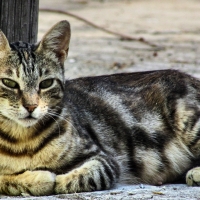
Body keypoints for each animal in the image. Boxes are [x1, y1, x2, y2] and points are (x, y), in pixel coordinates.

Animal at [0, 20, 200, 195]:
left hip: (187, 119)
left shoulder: (104, 159)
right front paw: (34, 178)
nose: (31, 106)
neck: (22, 140)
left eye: (46, 83)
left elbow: (83, 177)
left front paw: (58, 179)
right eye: (9, 83)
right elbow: (5, 179)